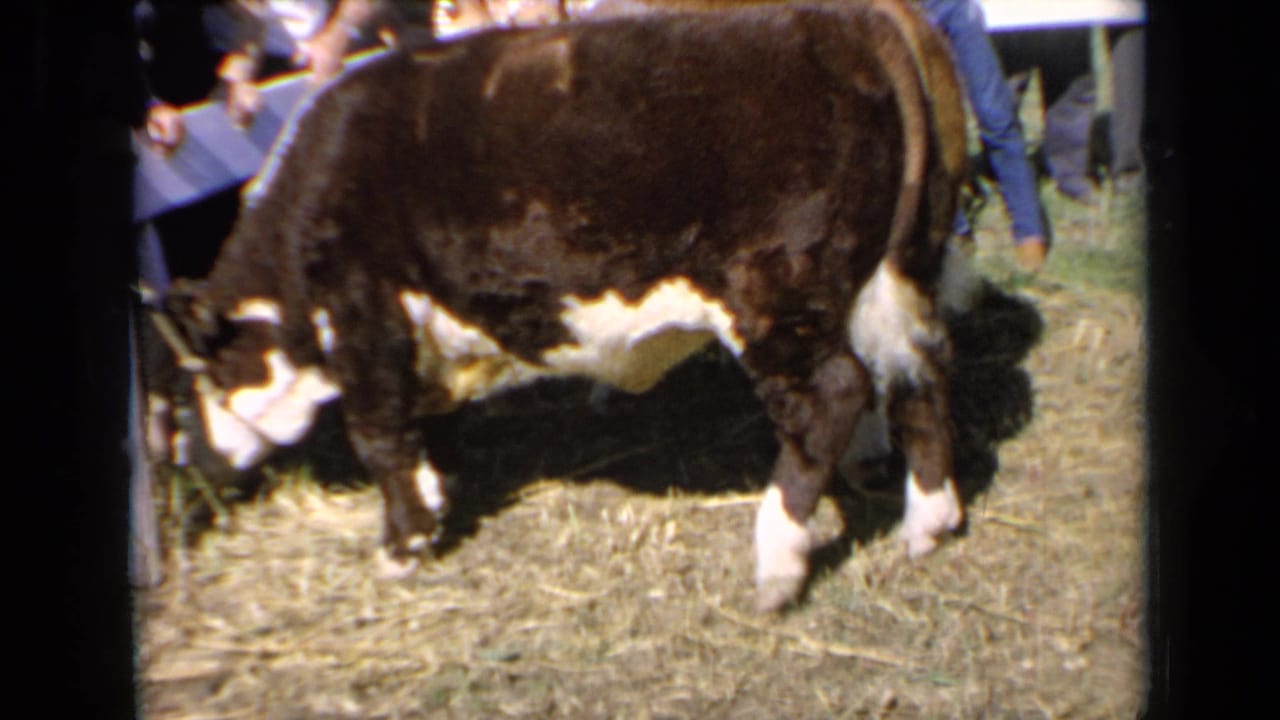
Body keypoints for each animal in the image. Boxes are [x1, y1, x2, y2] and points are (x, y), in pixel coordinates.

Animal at [158, 0, 968, 613]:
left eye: (185, 388)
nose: (183, 471)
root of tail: (855, 18)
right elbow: (423, 428)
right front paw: (432, 502)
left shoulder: (363, 312)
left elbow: (380, 436)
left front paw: (401, 544)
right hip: (895, 272)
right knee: (917, 374)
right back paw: (928, 522)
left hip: (775, 293)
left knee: (831, 396)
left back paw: (777, 565)